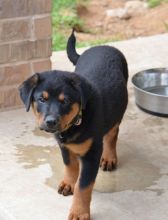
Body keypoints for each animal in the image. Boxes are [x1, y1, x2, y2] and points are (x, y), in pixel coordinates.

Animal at [19, 30, 128, 220]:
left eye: (66, 101)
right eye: (41, 99)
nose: (51, 122)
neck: (76, 123)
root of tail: (104, 46)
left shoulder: (92, 154)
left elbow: (83, 186)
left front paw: (79, 212)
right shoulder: (64, 146)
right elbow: (70, 165)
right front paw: (68, 183)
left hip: (118, 110)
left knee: (112, 134)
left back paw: (109, 157)